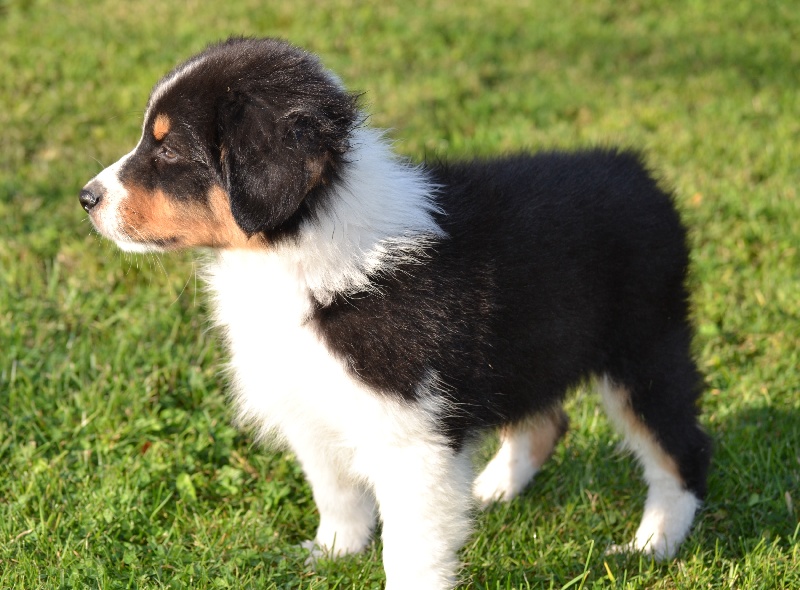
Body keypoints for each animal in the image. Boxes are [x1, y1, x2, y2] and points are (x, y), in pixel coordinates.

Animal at [78, 38, 708, 590]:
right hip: (529, 350)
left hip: (646, 347)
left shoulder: (412, 439)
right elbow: (335, 492)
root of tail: (639, 173)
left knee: (680, 450)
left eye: (168, 150)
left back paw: (650, 546)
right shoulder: (311, 407)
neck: (299, 252)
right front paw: (333, 555)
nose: (86, 198)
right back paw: (489, 492)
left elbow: (411, 547)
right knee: (545, 422)